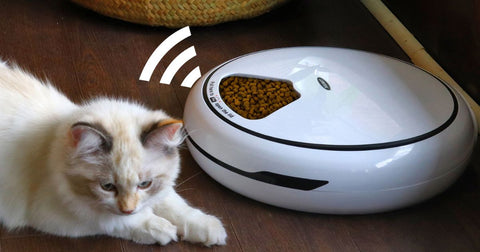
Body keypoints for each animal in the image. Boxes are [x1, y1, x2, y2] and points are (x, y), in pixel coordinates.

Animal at [0, 61, 227, 246]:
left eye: (145, 184)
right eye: (107, 187)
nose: (128, 209)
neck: (51, 142)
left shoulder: (159, 190)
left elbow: (175, 204)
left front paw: (209, 228)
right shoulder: (61, 214)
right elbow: (115, 221)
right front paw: (161, 229)